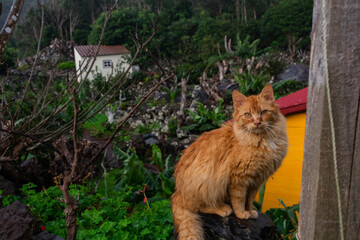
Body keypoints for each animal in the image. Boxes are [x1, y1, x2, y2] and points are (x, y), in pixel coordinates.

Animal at [171, 83, 286, 239]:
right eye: (248, 115)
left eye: (263, 112)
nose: (257, 122)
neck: (263, 140)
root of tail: (177, 193)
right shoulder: (239, 178)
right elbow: (239, 199)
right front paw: (242, 214)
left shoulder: (256, 181)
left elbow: (249, 200)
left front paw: (251, 212)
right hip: (206, 183)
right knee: (199, 207)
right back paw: (223, 209)